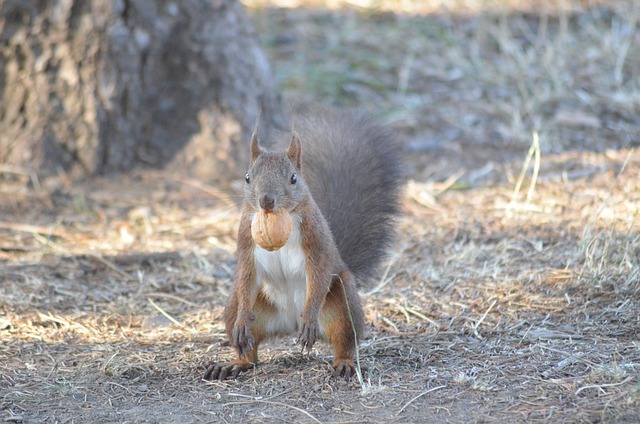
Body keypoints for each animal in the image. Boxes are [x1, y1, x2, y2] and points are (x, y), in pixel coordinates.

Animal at [204, 107, 400, 380]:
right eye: (247, 177)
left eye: (293, 178)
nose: (266, 200)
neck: (279, 218)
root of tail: (289, 321)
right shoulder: (245, 242)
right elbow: (246, 274)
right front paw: (242, 321)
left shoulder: (316, 242)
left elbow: (317, 276)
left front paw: (310, 316)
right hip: (239, 306)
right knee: (249, 349)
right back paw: (235, 362)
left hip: (342, 301)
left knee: (345, 340)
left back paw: (341, 360)